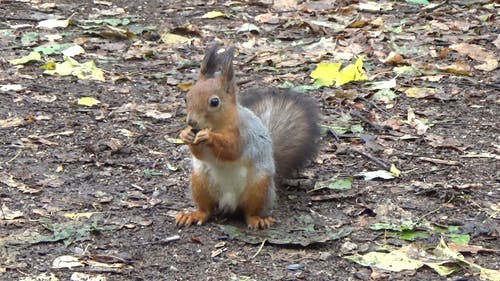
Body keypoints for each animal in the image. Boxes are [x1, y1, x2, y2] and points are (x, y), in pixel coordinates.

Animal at [174, 43, 318, 228]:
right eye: (187, 97)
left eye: (214, 102)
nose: (191, 122)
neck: (218, 125)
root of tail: (229, 204)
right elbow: (199, 154)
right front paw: (185, 134)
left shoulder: (243, 134)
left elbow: (232, 150)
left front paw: (209, 136)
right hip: (200, 183)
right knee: (206, 209)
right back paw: (193, 215)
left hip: (258, 187)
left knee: (250, 212)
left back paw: (258, 220)